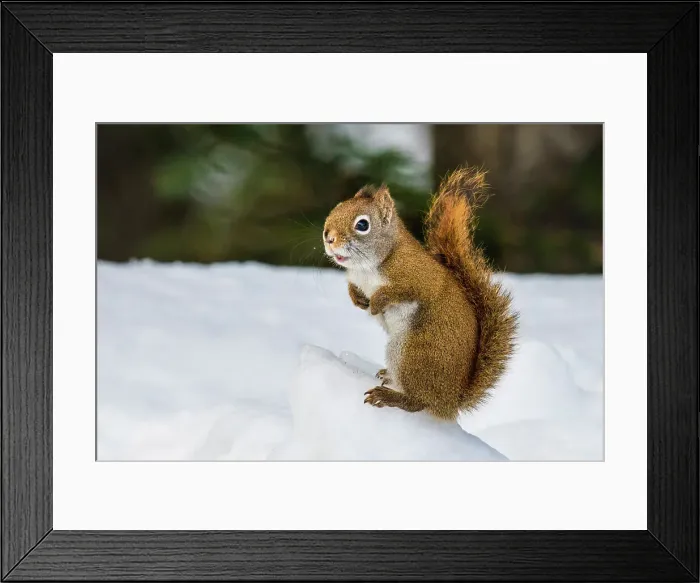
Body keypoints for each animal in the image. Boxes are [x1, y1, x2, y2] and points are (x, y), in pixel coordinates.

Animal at [322, 166, 518, 420]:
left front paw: (376, 303)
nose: (328, 237)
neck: (366, 267)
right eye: (337, 207)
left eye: (362, 225)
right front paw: (359, 300)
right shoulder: (355, 279)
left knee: (419, 402)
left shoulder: (418, 277)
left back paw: (390, 397)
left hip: (412, 354)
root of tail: (451, 401)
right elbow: (352, 288)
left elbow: (401, 291)